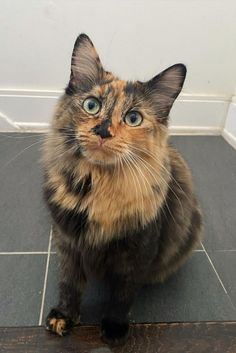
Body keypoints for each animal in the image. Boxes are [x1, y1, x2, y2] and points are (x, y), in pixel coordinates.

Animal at [41, 34, 202, 346]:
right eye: (91, 105)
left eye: (133, 118)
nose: (103, 131)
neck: (97, 187)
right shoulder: (68, 242)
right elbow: (69, 283)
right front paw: (64, 316)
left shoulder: (138, 251)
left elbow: (122, 296)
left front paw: (114, 329)